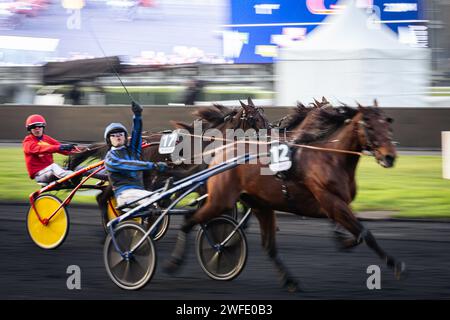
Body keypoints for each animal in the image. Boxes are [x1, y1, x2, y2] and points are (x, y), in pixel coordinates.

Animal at [163, 100, 404, 292]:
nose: (389, 157)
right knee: (190, 219)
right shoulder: (331, 201)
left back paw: (290, 281)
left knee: (269, 246)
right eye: (370, 126)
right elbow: (365, 233)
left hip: (260, 205)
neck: (331, 157)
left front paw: (344, 241)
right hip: (221, 200)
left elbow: (357, 232)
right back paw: (175, 261)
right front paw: (395, 264)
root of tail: (220, 153)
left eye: (387, 124)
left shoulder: (338, 205)